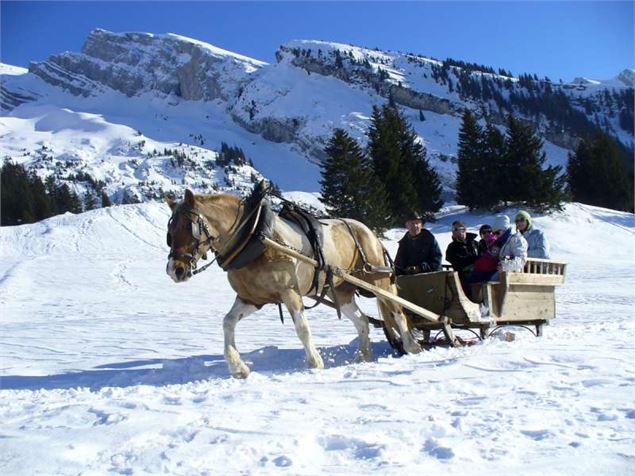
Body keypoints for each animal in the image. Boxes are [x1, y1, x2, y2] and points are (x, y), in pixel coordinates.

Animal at [166, 188, 422, 378]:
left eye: (189, 226)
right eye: (170, 231)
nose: (174, 270)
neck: (254, 237)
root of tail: (368, 231)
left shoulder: (290, 292)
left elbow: (302, 328)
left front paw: (315, 362)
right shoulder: (252, 298)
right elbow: (228, 322)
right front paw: (238, 367)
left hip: (378, 280)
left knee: (397, 312)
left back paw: (412, 346)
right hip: (341, 291)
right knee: (362, 321)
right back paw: (363, 357)